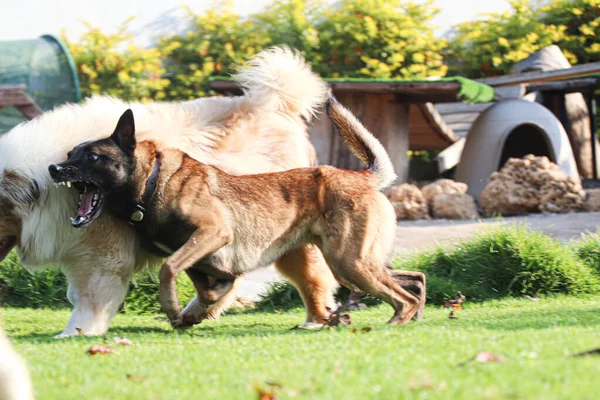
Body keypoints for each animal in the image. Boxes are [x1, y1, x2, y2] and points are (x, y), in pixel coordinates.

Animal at [0, 48, 338, 340]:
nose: (55, 169)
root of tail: (274, 106)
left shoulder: (102, 254)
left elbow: (90, 295)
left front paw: (77, 331)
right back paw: (195, 312)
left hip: (281, 238)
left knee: (312, 277)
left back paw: (314, 319)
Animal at [49, 94, 426, 328]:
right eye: (70, 154)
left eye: (92, 157)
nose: (54, 169)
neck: (152, 182)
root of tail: (360, 176)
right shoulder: (201, 257)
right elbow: (204, 286)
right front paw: (195, 312)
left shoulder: (213, 232)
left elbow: (169, 270)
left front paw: (173, 308)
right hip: (355, 262)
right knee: (413, 280)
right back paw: (415, 313)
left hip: (348, 262)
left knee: (401, 297)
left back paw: (394, 323)